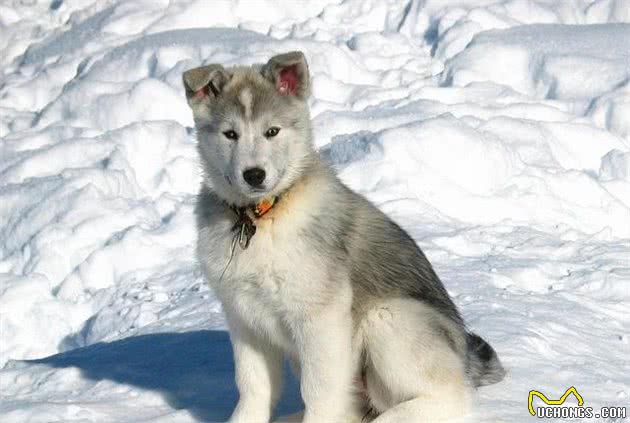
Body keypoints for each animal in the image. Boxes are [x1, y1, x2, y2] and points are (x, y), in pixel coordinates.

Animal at [184, 51, 508, 422]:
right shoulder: (244, 318)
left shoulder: (320, 317)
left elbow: (319, 391)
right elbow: (254, 386)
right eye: (230, 134)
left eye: (272, 131)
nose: (254, 175)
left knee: (449, 397)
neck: (261, 216)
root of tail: (465, 358)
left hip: (390, 318)